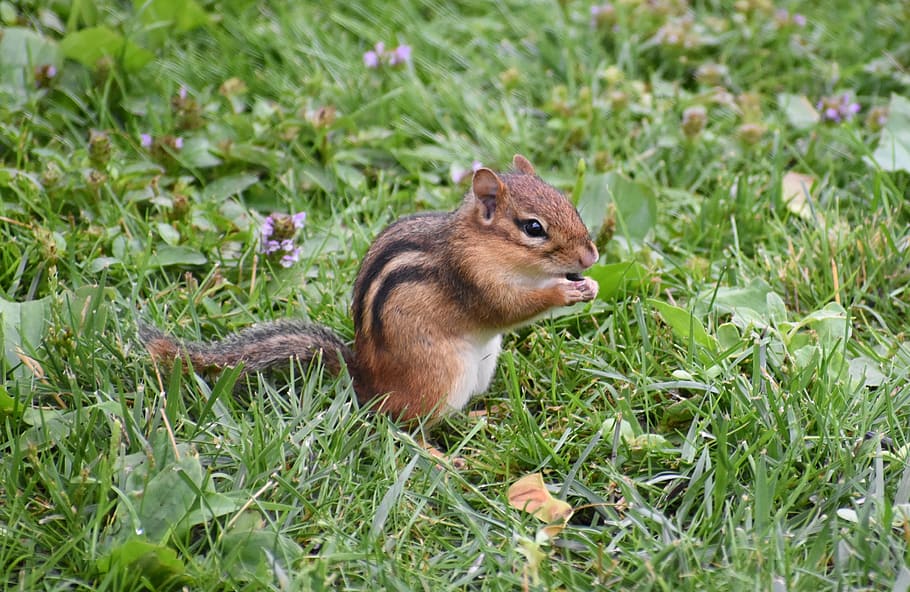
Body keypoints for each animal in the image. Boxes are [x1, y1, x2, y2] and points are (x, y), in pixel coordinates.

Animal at [141, 154, 600, 423]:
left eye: (571, 205)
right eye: (533, 228)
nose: (592, 257)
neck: (482, 244)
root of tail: (366, 380)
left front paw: (590, 285)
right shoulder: (473, 279)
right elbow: (509, 308)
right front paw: (563, 293)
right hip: (441, 376)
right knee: (406, 425)